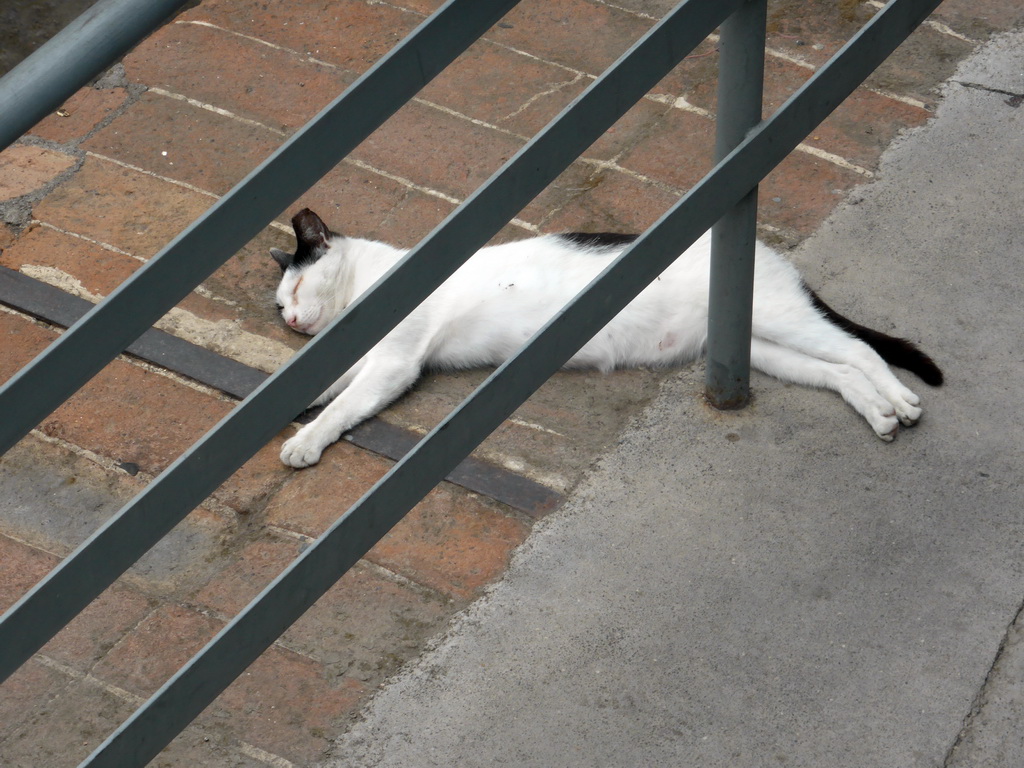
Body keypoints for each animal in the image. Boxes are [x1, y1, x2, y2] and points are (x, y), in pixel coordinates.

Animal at [268, 207, 937, 468]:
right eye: (281, 306)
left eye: (296, 289)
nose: (293, 323)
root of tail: (766, 253)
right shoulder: (366, 361)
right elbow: (326, 385)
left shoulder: (395, 363)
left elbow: (345, 405)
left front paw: (304, 441)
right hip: (762, 350)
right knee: (839, 371)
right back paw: (879, 414)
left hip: (781, 319)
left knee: (858, 349)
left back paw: (902, 403)